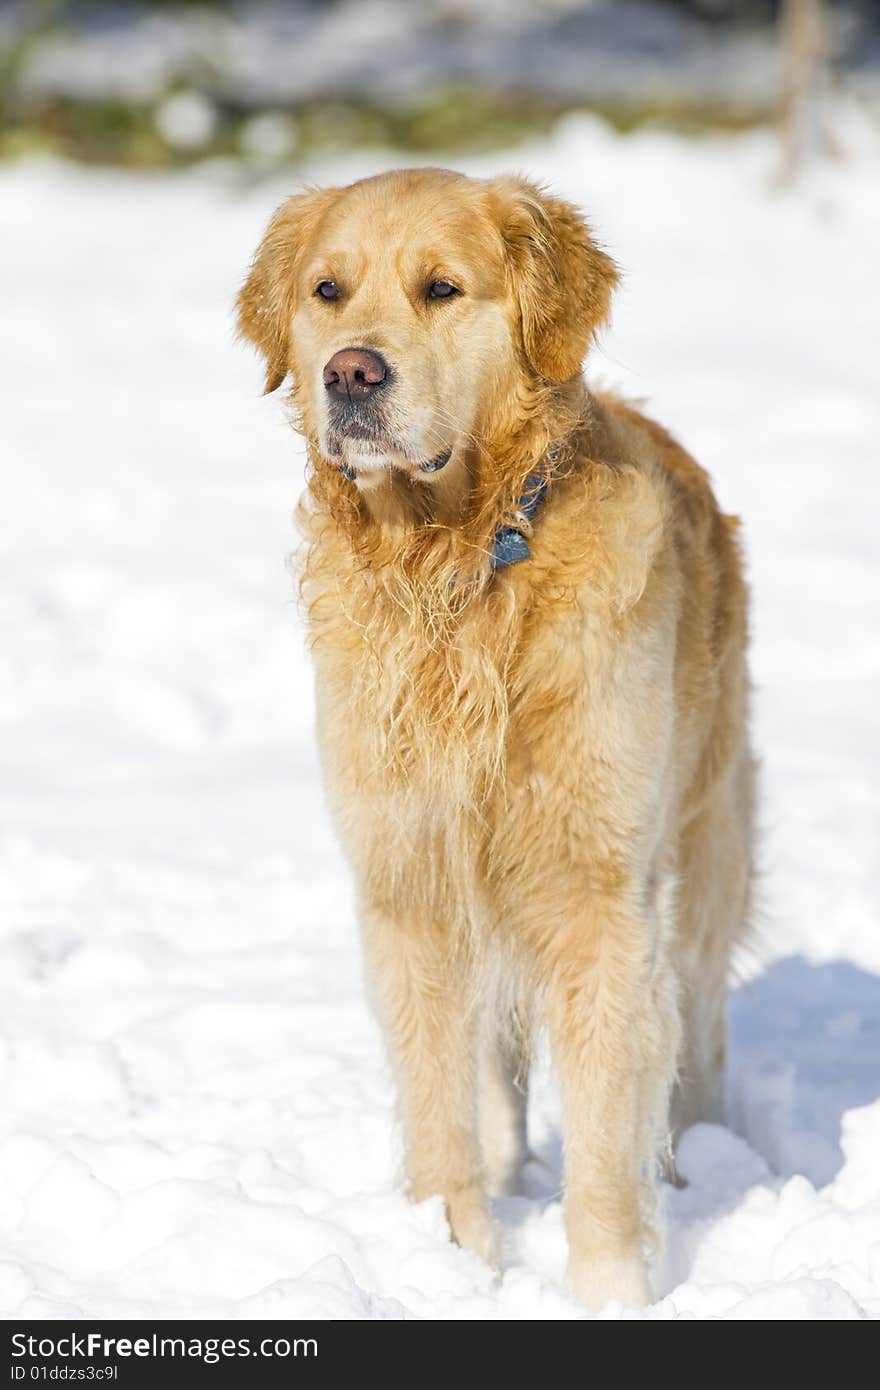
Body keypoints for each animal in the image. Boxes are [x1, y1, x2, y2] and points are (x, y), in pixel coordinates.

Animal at [236, 168, 750, 1306]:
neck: (458, 565)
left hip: (701, 853)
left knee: (695, 1033)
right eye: (328, 290)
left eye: (442, 288)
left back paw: (703, 1161)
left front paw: (612, 1293)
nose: (350, 373)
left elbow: (605, 1133)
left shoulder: (598, 891)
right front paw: (451, 1256)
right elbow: (440, 1106)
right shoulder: (410, 881)